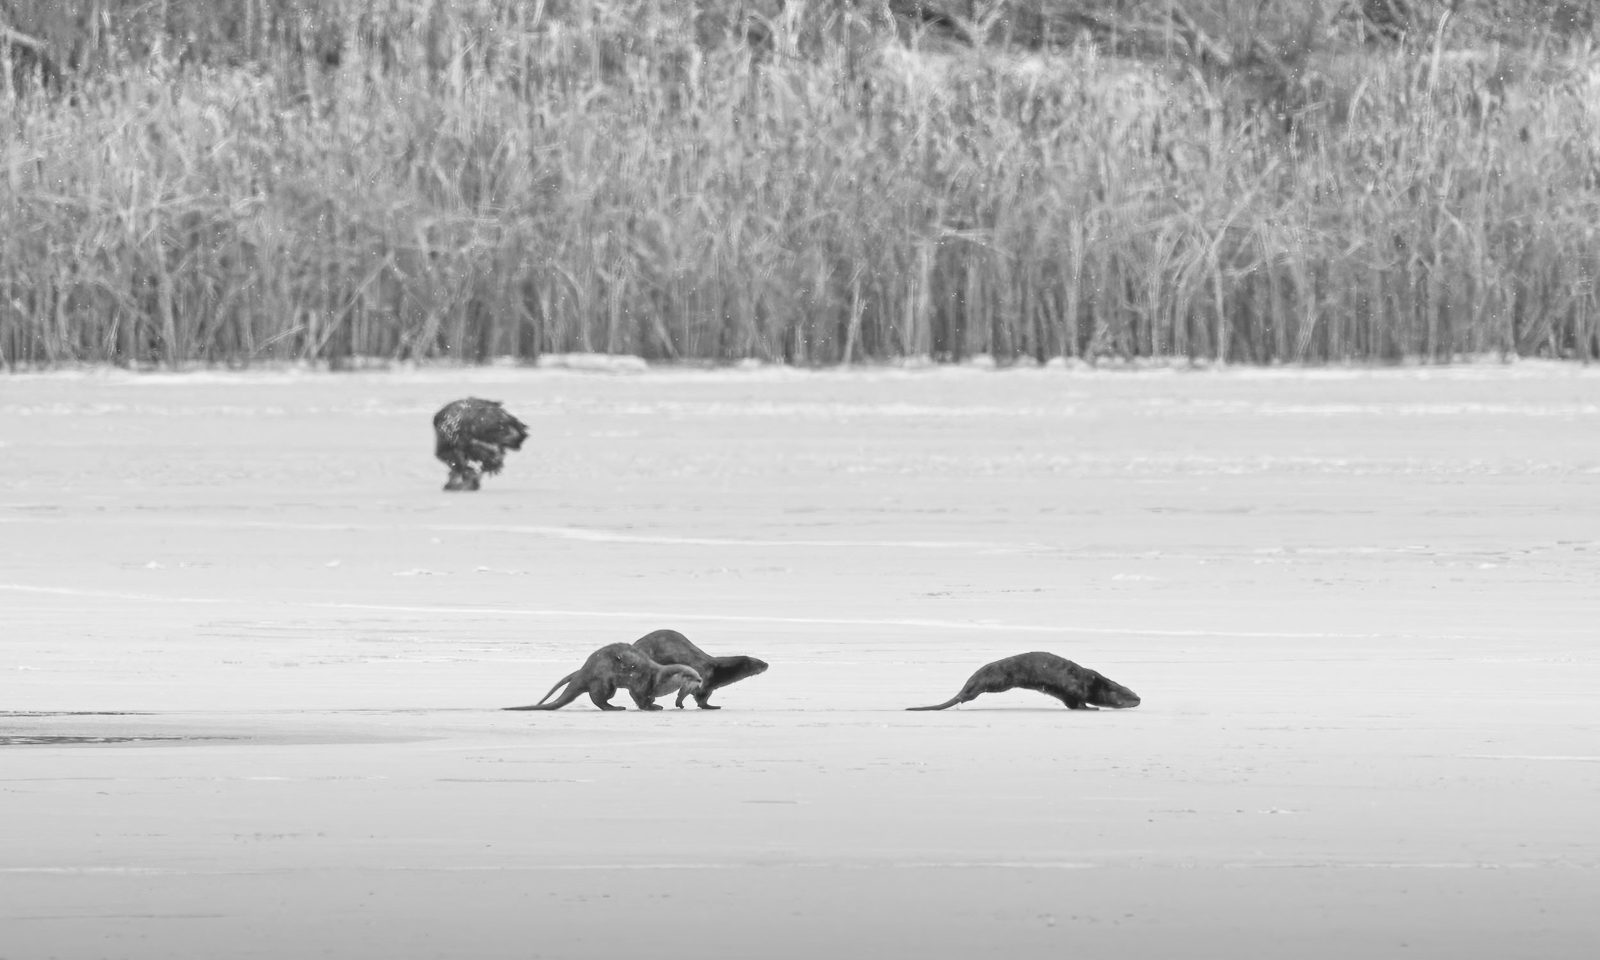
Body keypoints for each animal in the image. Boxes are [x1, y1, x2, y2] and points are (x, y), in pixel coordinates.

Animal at [504, 643, 703, 711]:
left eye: (699, 674)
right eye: (691, 675)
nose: (700, 681)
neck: (660, 679)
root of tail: (584, 671)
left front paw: (655, 703)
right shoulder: (642, 682)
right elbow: (639, 698)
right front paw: (652, 707)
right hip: (604, 682)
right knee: (598, 699)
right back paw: (615, 708)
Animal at [631, 629, 770, 709]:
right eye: (759, 662)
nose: (767, 664)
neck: (717, 671)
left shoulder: (709, 687)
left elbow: (699, 697)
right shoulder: (703, 681)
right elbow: (698, 697)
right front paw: (712, 707)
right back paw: (651, 705)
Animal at [907, 652, 1141, 711]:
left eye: (1133, 691)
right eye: (1128, 696)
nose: (1139, 699)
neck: (1094, 684)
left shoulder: (1068, 694)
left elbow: (1072, 704)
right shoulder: (1076, 687)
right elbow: (1080, 702)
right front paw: (1092, 708)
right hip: (996, 680)